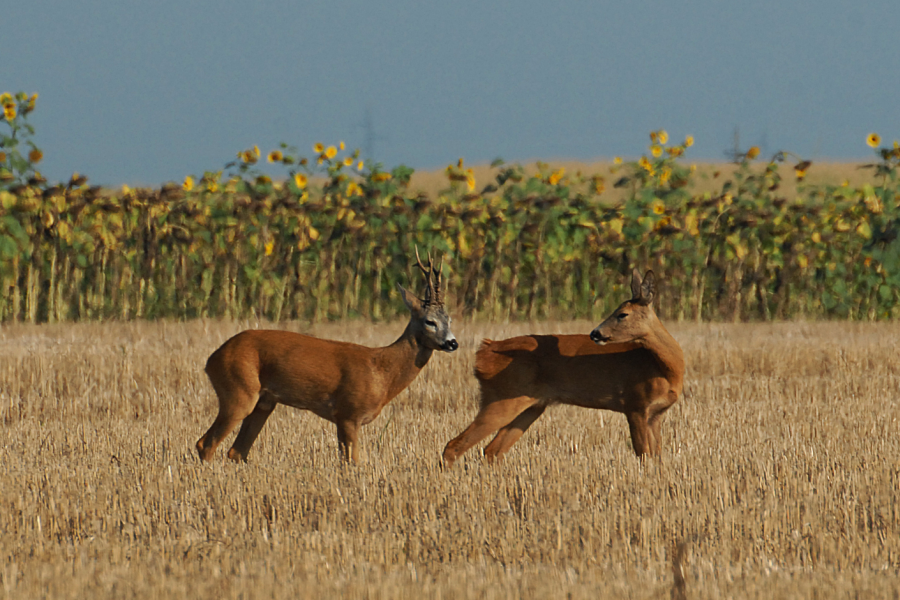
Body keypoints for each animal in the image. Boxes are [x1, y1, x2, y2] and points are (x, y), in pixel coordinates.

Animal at [196, 248, 458, 464]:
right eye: (430, 321)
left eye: (449, 319)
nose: (453, 343)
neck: (382, 372)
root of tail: (211, 359)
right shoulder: (348, 413)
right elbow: (353, 462)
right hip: (239, 391)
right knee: (205, 444)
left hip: (264, 402)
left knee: (236, 451)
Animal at [442, 268, 684, 468]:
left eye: (622, 314)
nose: (595, 333)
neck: (665, 368)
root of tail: (486, 350)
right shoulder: (635, 404)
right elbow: (644, 455)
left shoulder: (655, 414)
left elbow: (657, 457)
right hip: (502, 397)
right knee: (454, 446)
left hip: (531, 405)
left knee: (492, 450)